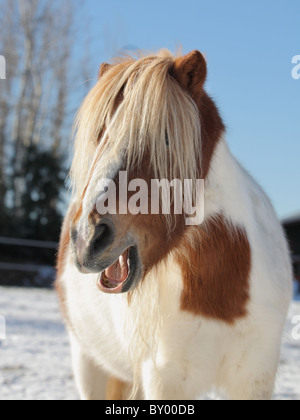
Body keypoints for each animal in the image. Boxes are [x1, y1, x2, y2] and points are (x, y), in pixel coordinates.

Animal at [56, 49, 292, 400]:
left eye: (165, 138)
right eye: (100, 135)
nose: (87, 239)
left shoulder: (254, 376)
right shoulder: (165, 377)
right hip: (88, 363)